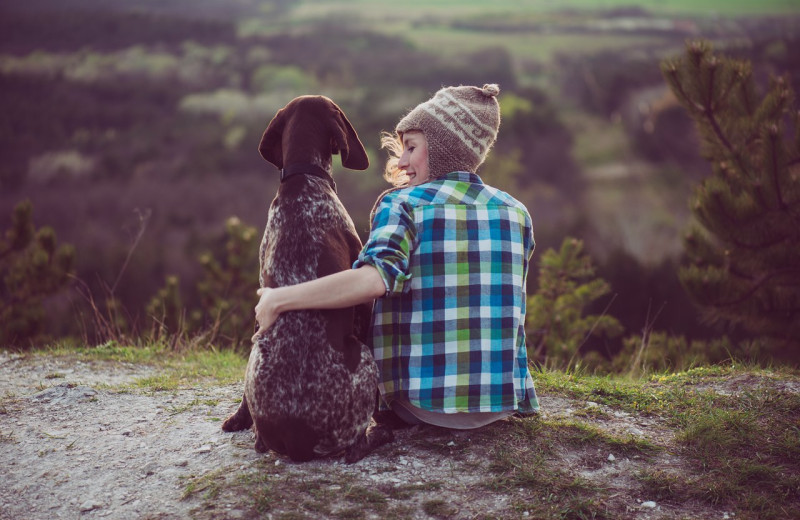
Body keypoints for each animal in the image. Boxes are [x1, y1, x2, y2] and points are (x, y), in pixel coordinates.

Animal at [222, 96, 390, 464]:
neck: (302, 178)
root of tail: (297, 437)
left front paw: (238, 418)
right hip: (363, 359)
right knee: (355, 446)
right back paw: (376, 435)